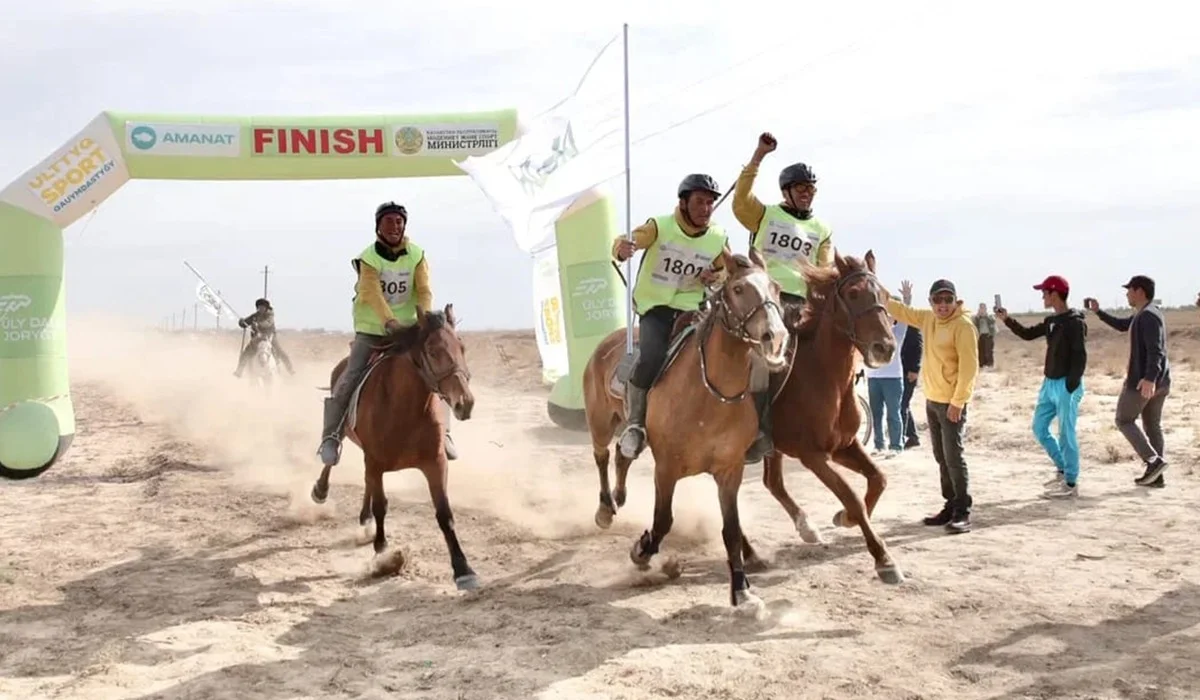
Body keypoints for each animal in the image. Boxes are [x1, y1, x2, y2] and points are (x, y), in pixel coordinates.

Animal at [307, 307, 480, 590]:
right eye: (432, 351)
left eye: (462, 347)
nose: (465, 403)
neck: (405, 408)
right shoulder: (375, 461)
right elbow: (381, 506)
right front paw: (382, 553)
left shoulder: (435, 463)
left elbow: (445, 514)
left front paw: (463, 570)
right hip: (346, 432)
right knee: (332, 458)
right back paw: (321, 489)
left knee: (366, 482)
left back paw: (364, 518)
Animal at [595, 250, 792, 607]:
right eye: (738, 289)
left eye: (776, 287)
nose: (776, 338)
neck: (710, 390)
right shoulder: (666, 468)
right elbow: (662, 522)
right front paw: (641, 552)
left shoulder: (729, 470)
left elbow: (731, 530)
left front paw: (742, 590)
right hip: (599, 421)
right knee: (602, 454)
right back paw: (605, 508)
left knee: (622, 453)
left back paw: (619, 494)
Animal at [763, 252, 902, 585]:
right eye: (852, 293)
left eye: (885, 295)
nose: (885, 348)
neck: (824, 378)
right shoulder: (814, 456)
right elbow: (851, 495)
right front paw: (884, 559)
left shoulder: (845, 446)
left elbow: (878, 479)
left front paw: (846, 519)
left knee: (772, 483)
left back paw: (807, 528)